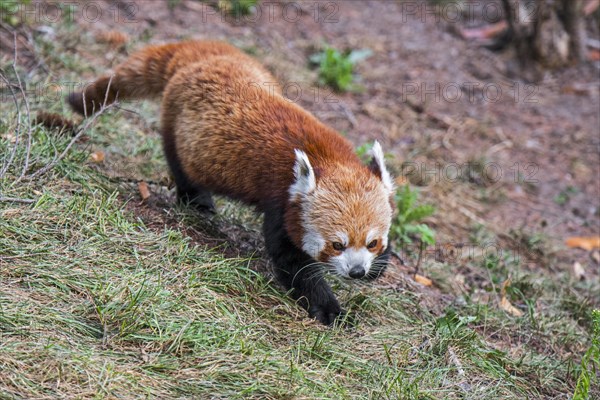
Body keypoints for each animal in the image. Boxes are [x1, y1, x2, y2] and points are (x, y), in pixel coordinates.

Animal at [68, 40, 396, 324]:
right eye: (337, 244)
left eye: (372, 242)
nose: (357, 271)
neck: (326, 158)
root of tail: (199, 56)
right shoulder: (281, 200)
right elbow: (291, 261)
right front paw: (329, 308)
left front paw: (379, 265)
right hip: (178, 127)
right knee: (181, 166)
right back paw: (197, 201)